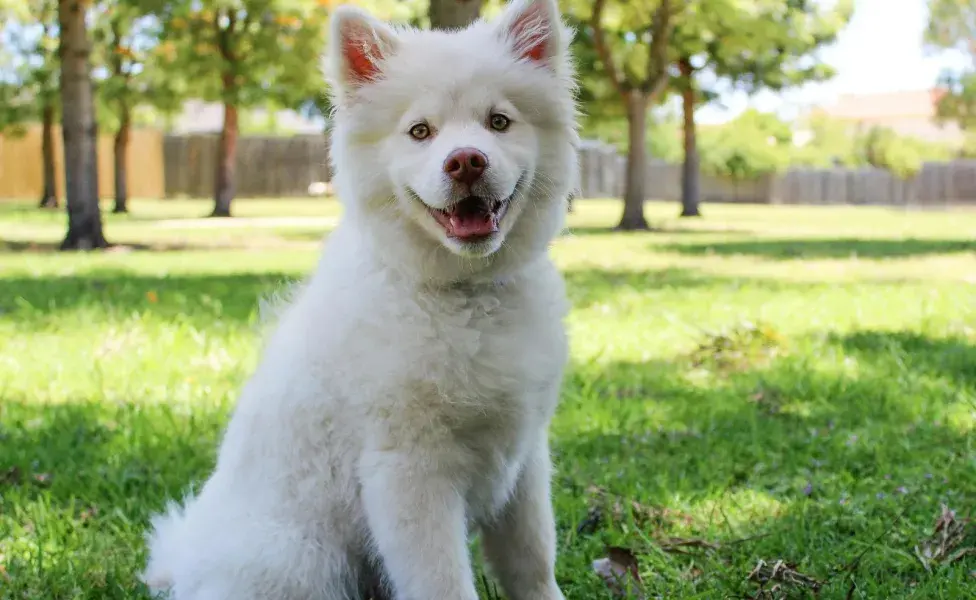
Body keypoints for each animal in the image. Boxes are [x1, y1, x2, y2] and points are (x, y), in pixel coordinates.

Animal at [143, 0, 580, 596]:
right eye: (420, 131)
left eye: (499, 122)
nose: (466, 161)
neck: (463, 294)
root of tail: (185, 564)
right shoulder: (409, 470)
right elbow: (444, 581)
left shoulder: (524, 458)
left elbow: (533, 561)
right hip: (301, 561)